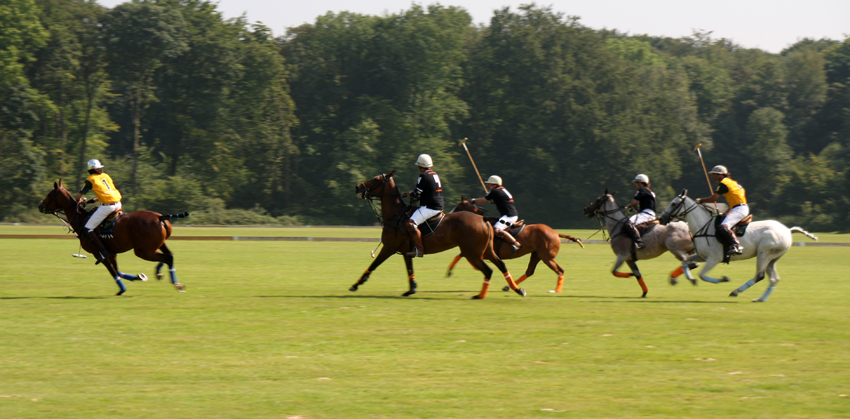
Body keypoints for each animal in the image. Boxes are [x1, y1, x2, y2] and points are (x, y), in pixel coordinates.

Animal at [38, 180, 187, 296]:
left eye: (50, 195)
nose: (40, 207)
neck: (81, 219)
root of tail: (160, 217)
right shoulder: (112, 253)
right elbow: (118, 270)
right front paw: (139, 277)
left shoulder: (99, 253)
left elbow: (112, 270)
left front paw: (122, 289)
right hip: (157, 244)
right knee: (169, 255)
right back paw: (161, 273)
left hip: (143, 251)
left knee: (167, 257)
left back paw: (176, 284)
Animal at [350, 172, 524, 300]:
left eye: (376, 179)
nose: (357, 187)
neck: (395, 215)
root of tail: (483, 219)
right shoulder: (406, 251)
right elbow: (410, 270)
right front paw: (411, 290)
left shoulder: (389, 247)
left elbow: (373, 265)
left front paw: (356, 284)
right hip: (486, 250)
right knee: (501, 265)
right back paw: (517, 289)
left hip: (472, 253)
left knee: (488, 270)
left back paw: (480, 295)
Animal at [438, 199, 584, 294]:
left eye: (459, 207)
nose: (446, 215)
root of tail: (556, 232)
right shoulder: (475, 250)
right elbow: (461, 255)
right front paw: (450, 271)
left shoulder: (478, 250)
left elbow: (462, 255)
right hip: (537, 255)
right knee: (529, 271)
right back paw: (509, 287)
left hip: (547, 257)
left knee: (560, 270)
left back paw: (556, 290)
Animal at [656, 190, 816, 302]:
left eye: (674, 203)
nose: (661, 219)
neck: (703, 227)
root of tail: (788, 230)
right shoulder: (702, 256)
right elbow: (685, 261)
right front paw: (688, 279)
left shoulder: (713, 258)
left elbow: (702, 275)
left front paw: (723, 279)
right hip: (773, 258)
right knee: (773, 278)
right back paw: (760, 299)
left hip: (764, 254)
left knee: (759, 275)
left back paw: (735, 291)